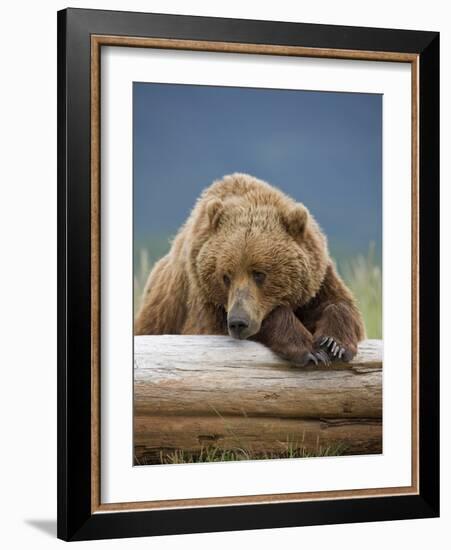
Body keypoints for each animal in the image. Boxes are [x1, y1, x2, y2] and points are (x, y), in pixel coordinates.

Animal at [135, 175, 368, 368]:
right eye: (225, 276)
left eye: (259, 274)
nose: (238, 322)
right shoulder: (204, 298)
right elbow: (213, 330)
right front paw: (310, 350)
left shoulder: (317, 279)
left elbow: (341, 305)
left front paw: (334, 343)